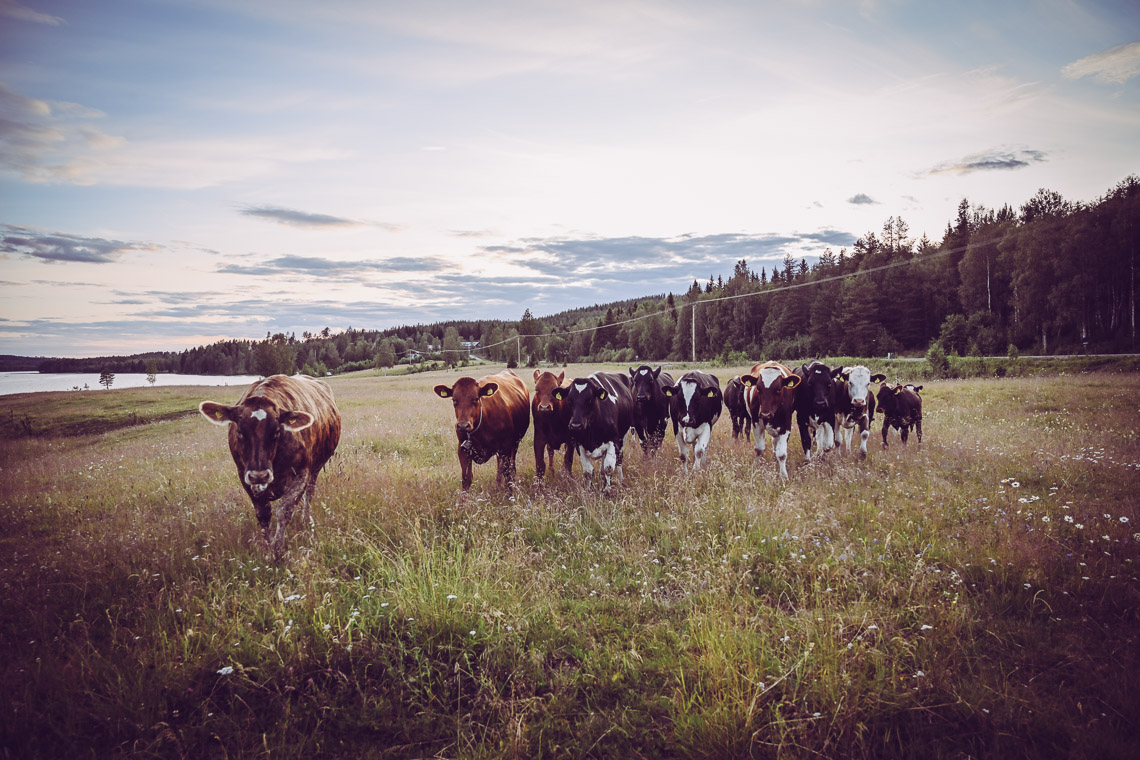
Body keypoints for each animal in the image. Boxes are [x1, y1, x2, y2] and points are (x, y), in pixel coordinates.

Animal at [198, 373, 339, 556]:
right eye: (239, 431)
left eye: (277, 431)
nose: (260, 475)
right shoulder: (245, 477)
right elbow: (263, 514)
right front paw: (268, 549)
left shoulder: (301, 474)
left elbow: (284, 510)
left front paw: (277, 549)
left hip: (316, 468)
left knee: (309, 493)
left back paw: (306, 518)